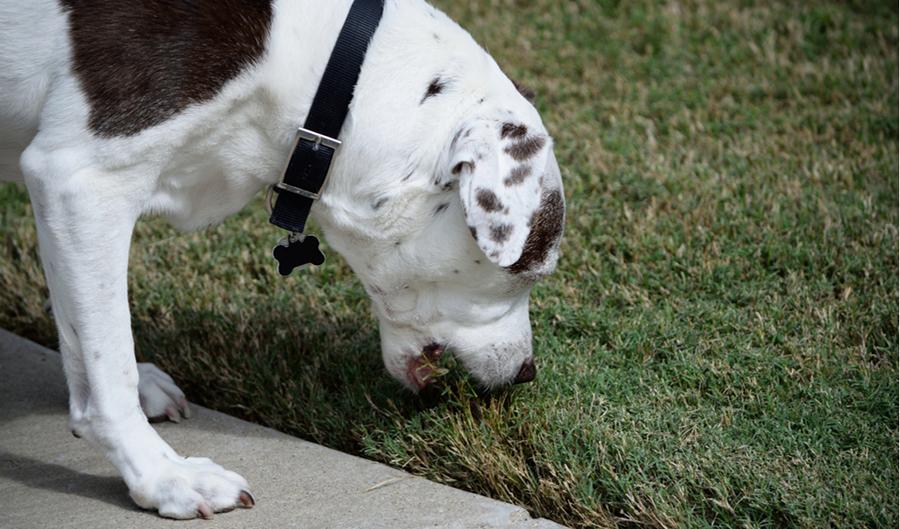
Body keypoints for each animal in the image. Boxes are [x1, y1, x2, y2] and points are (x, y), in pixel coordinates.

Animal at [0, 0, 564, 520]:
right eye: (529, 269)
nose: (528, 372)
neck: (319, 65)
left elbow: (87, 338)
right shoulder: (81, 182)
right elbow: (108, 366)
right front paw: (163, 477)